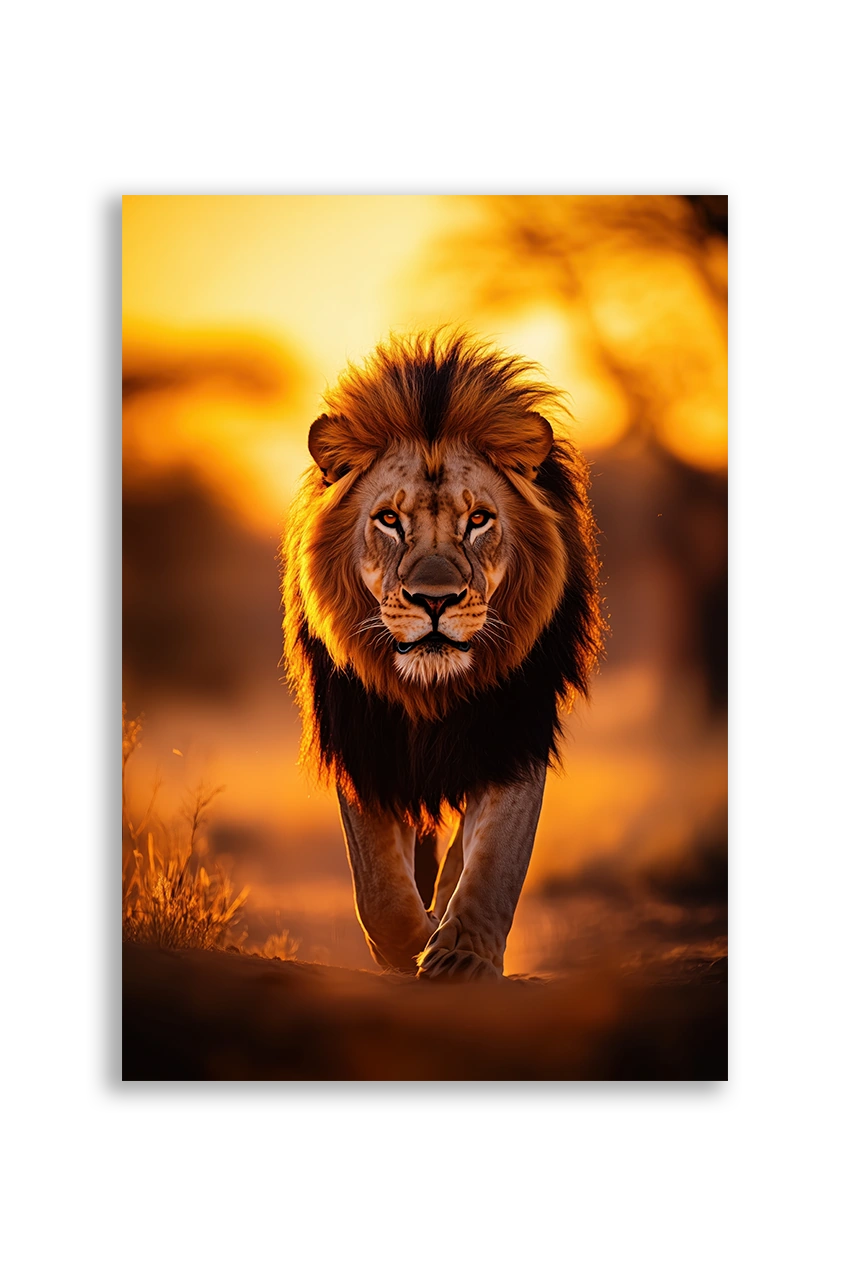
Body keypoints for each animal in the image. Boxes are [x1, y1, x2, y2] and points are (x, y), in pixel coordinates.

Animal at [282, 331, 604, 980]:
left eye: (478, 519)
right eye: (388, 519)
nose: (435, 600)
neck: (430, 689)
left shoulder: (513, 733)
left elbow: (494, 858)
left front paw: (461, 957)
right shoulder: (363, 741)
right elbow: (379, 886)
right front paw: (408, 947)